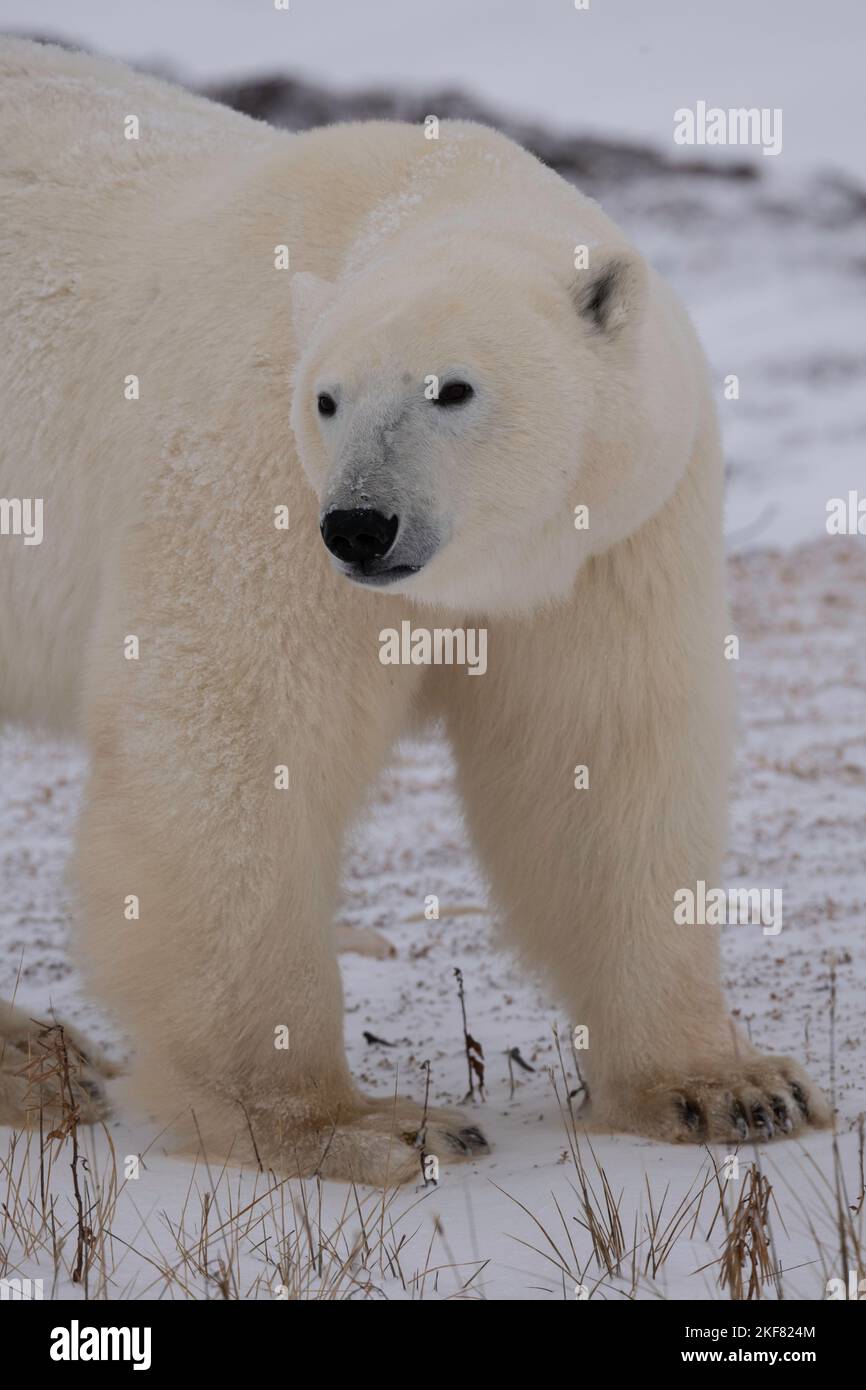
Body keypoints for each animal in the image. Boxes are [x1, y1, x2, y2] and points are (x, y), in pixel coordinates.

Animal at [0, 35, 834, 1184]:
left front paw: (730, 1087)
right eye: (326, 398)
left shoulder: (613, 539)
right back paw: (35, 1063)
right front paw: (357, 1122)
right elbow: (236, 749)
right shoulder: (251, 476)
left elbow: (600, 756)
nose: (359, 525)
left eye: (452, 389)